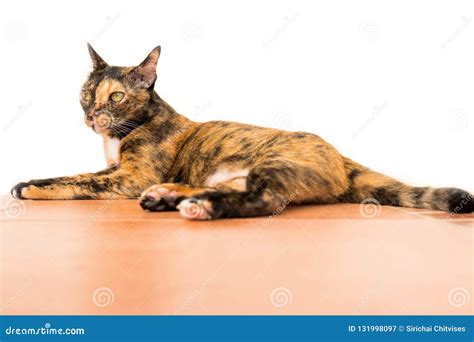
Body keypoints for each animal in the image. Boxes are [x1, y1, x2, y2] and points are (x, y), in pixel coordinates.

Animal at [9, 44, 472, 219]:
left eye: (117, 97)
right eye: (86, 93)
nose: (91, 115)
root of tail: (341, 155)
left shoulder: (130, 176)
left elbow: (76, 180)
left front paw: (30, 186)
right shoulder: (118, 172)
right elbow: (82, 172)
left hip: (274, 163)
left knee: (262, 200)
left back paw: (197, 207)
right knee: (229, 188)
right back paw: (168, 197)